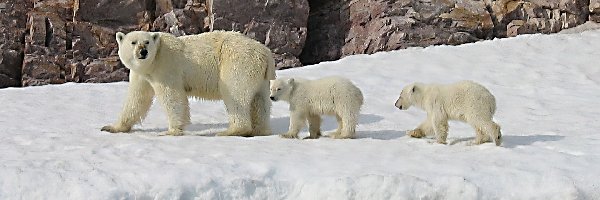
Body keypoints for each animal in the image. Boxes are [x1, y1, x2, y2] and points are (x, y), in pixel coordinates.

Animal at [101, 30, 276, 136]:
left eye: (147, 42)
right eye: (133, 42)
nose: (143, 52)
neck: (153, 62)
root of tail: (266, 53)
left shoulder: (166, 67)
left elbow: (172, 97)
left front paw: (171, 131)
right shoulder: (142, 75)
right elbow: (137, 99)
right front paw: (111, 127)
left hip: (237, 63)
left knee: (235, 95)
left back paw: (230, 131)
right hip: (259, 77)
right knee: (260, 102)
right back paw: (260, 130)